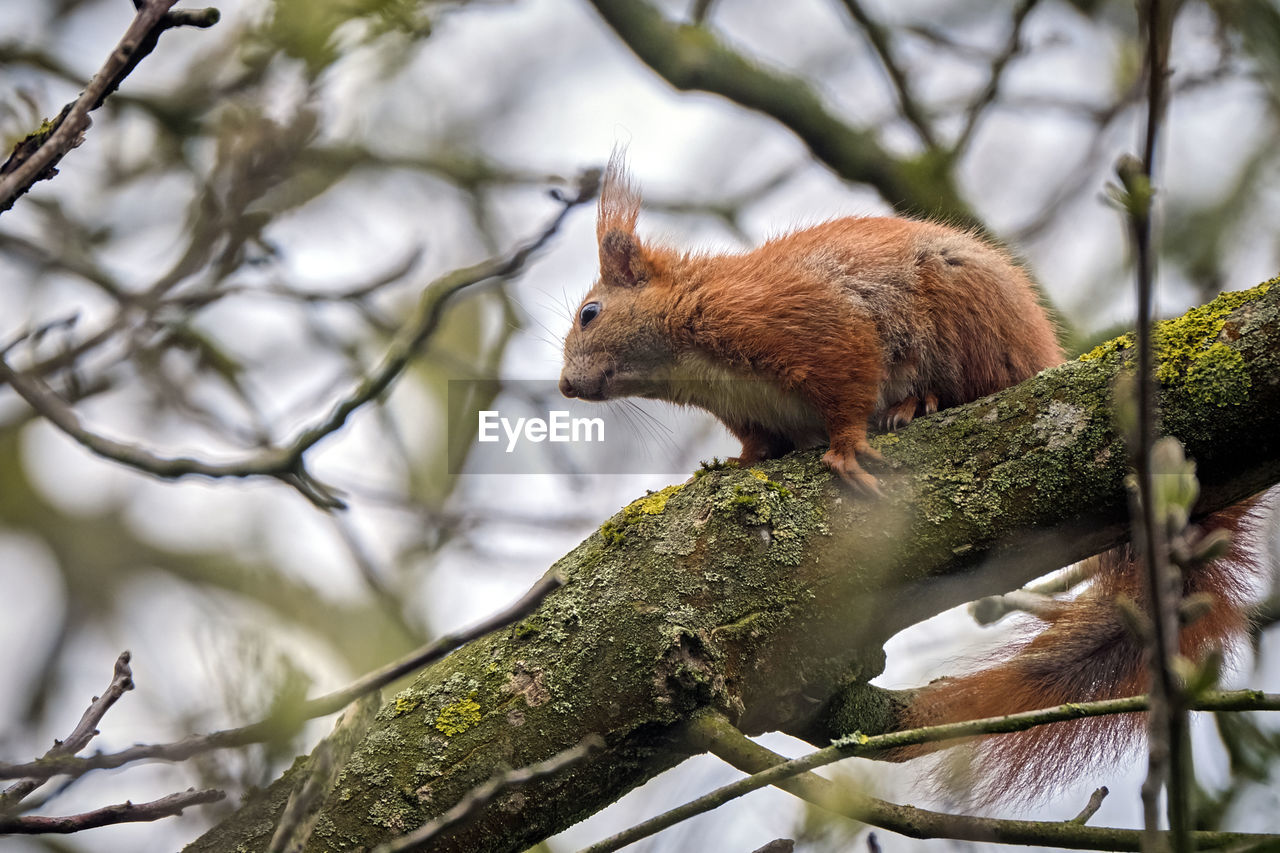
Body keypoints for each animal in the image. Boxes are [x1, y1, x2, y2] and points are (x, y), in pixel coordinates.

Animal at [558, 156, 1259, 799]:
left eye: (590, 313)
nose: (565, 385)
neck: (694, 353)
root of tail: (1040, 354)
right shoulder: (754, 412)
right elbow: (760, 446)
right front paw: (733, 464)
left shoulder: (806, 322)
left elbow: (847, 376)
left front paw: (846, 447)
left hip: (964, 321)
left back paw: (917, 404)